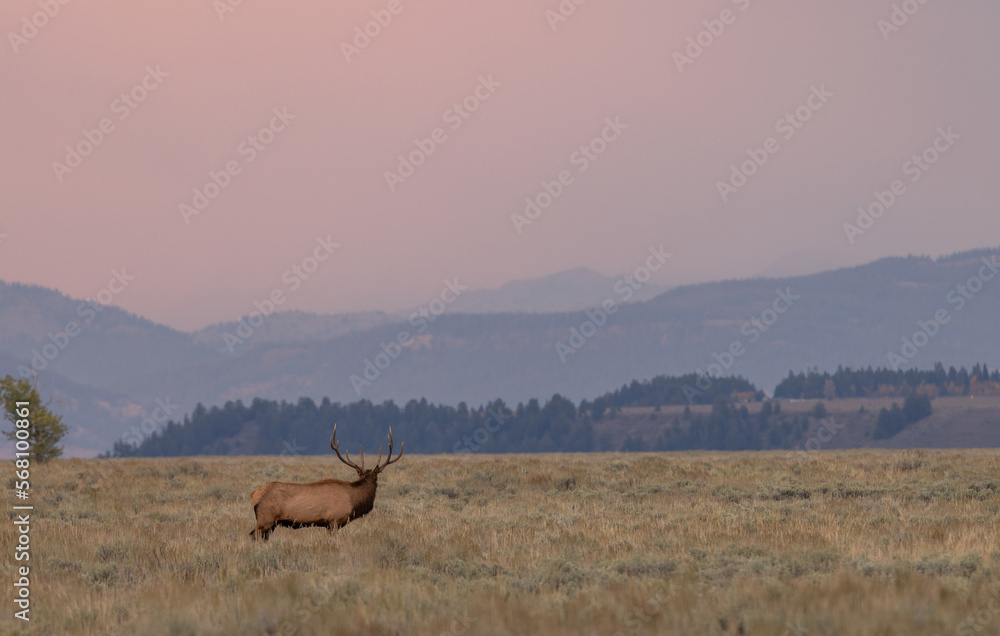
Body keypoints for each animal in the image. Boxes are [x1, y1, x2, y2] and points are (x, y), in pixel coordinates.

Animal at [249, 424, 403, 541]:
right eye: (375, 478)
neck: (354, 500)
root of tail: (254, 494)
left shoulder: (329, 524)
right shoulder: (334, 521)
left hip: (272, 524)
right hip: (266, 519)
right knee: (252, 535)